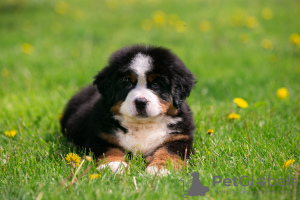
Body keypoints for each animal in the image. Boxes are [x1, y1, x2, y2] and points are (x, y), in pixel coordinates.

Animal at [61, 44, 197, 176]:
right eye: (127, 85)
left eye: (156, 84)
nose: (141, 102)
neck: (142, 126)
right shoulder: (100, 136)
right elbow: (110, 150)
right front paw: (113, 165)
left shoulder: (179, 137)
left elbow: (169, 152)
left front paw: (161, 169)